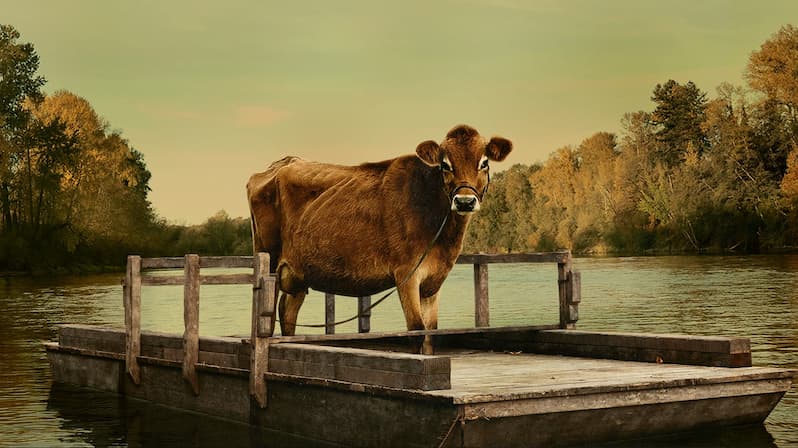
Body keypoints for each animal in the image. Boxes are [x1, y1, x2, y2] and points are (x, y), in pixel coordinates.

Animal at [247, 125, 512, 353]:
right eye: (445, 165)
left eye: (484, 163)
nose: (465, 201)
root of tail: (283, 163)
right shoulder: (407, 274)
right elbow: (416, 330)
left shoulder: (433, 281)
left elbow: (431, 333)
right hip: (270, 260)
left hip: (298, 272)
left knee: (288, 312)